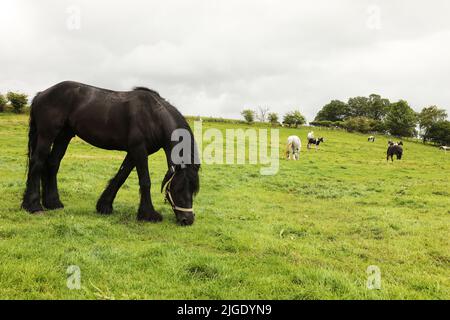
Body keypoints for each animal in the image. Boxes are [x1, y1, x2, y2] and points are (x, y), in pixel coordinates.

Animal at [22, 81, 200, 226]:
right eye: (178, 188)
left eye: (194, 189)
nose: (187, 220)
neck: (153, 115)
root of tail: (41, 94)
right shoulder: (139, 150)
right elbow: (145, 181)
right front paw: (148, 214)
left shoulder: (134, 152)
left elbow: (121, 176)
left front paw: (104, 206)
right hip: (47, 134)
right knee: (37, 162)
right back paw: (33, 206)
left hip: (63, 136)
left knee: (52, 164)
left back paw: (53, 203)